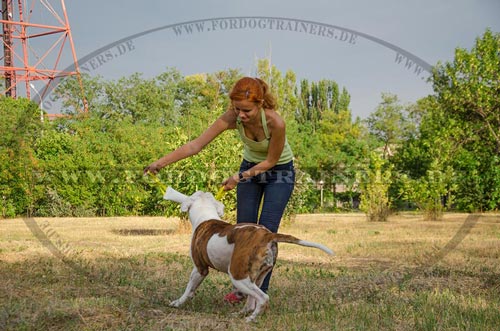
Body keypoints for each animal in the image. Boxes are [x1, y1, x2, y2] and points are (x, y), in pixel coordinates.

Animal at [164, 188, 334, 322]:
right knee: (253, 300)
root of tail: (267, 235)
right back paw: (242, 313)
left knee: (263, 298)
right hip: (257, 276)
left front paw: (178, 302)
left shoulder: (200, 269)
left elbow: (189, 288)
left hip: (238, 276)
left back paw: (251, 319)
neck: (205, 214)